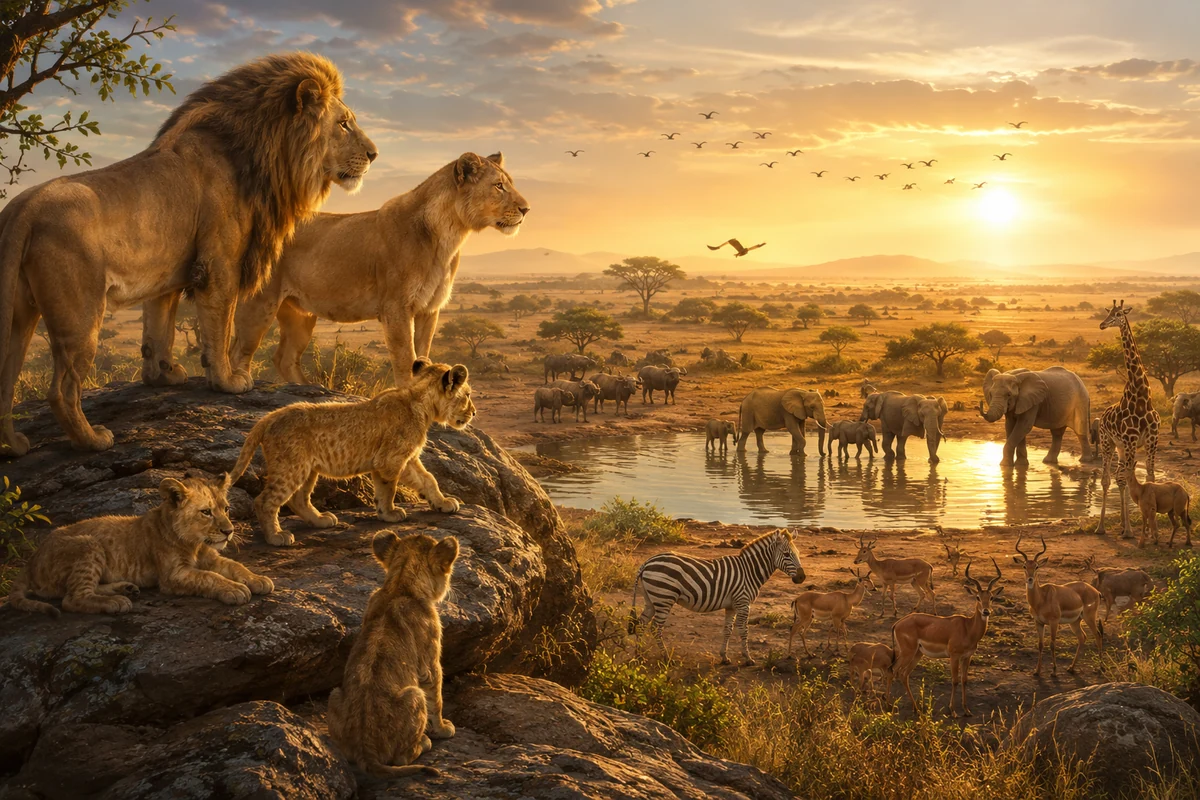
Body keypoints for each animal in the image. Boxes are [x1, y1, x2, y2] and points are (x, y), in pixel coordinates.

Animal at [0, 52, 376, 457]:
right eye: (343, 123)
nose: (374, 154)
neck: (264, 151)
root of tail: (22, 207)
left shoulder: (167, 274)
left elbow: (159, 329)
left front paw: (163, 376)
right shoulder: (220, 261)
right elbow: (220, 324)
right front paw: (228, 380)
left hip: (19, 313)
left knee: (7, 377)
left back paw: (14, 445)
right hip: (80, 312)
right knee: (62, 389)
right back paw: (93, 440)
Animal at [6, 474, 273, 617]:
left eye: (226, 509)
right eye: (206, 512)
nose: (229, 532)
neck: (195, 543)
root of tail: (31, 560)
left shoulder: (212, 557)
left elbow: (235, 566)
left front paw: (259, 579)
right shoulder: (172, 576)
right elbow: (209, 577)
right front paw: (234, 589)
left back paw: (126, 589)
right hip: (88, 544)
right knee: (71, 599)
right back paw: (116, 602)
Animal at [228, 358, 476, 546]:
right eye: (468, 395)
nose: (473, 413)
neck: (421, 403)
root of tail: (269, 417)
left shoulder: (409, 458)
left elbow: (428, 480)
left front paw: (442, 503)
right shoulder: (389, 460)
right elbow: (388, 490)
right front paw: (389, 514)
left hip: (307, 469)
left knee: (299, 499)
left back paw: (321, 520)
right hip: (291, 467)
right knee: (264, 501)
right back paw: (276, 537)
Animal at [229, 152, 528, 385]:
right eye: (499, 186)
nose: (526, 209)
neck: (449, 235)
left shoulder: (429, 308)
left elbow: (422, 354)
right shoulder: (396, 306)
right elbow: (406, 359)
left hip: (299, 314)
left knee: (284, 357)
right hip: (261, 303)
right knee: (239, 350)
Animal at [326, 530, 458, 778]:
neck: (399, 585)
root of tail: (365, 750)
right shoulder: (430, 661)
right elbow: (436, 696)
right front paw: (443, 728)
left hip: (335, 694)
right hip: (414, 695)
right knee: (401, 759)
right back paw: (424, 742)